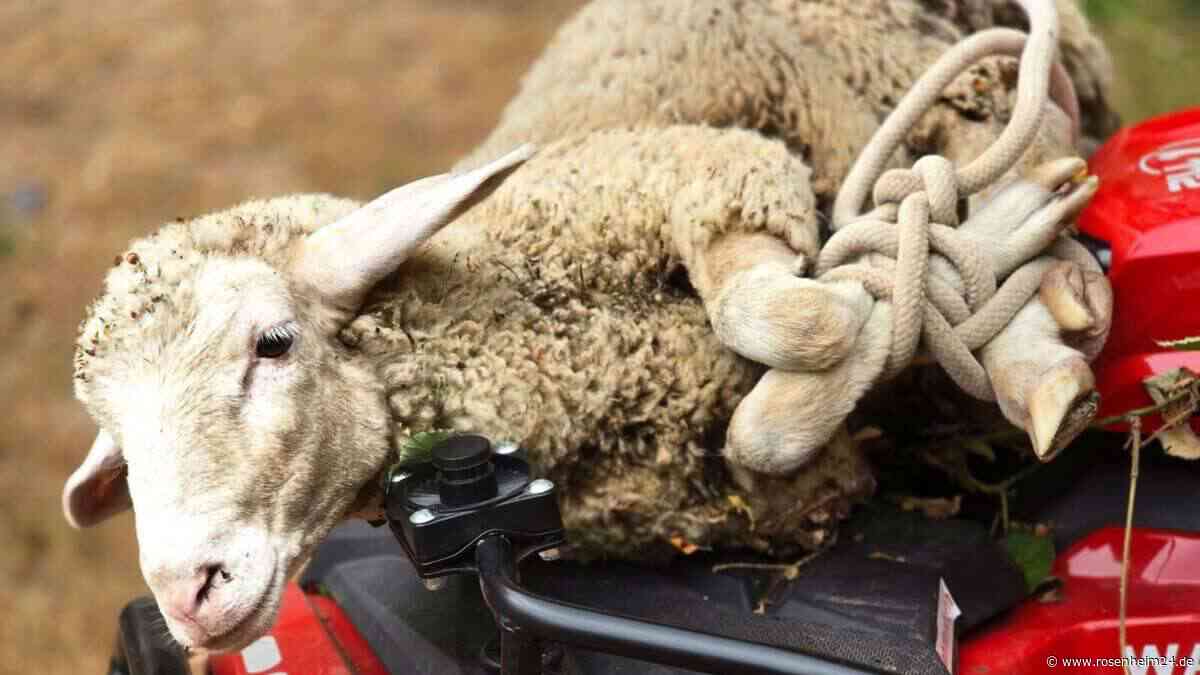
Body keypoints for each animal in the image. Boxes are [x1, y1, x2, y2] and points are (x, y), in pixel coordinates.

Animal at [64, 0, 1118, 653]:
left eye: (273, 344)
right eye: (118, 439)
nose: (186, 594)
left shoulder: (712, 171)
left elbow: (791, 318)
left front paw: (938, 263)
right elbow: (770, 423)